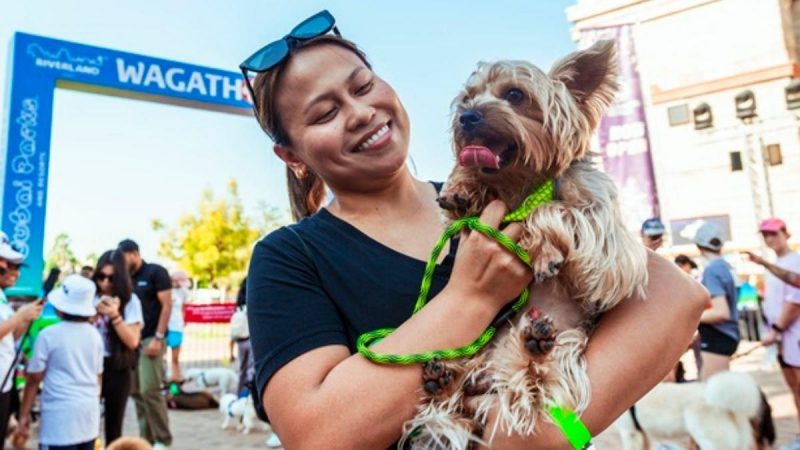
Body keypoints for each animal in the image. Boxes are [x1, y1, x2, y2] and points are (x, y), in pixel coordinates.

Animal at [406, 40, 648, 448]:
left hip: (567, 349)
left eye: (515, 95)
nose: (466, 116)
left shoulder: (608, 244)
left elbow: (550, 211)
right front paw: (461, 185)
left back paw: (534, 346)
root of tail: (487, 381)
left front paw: (545, 251)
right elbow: (461, 202)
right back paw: (444, 380)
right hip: (479, 353)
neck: (522, 183)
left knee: (536, 381)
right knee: (460, 396)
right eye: (467, 98)